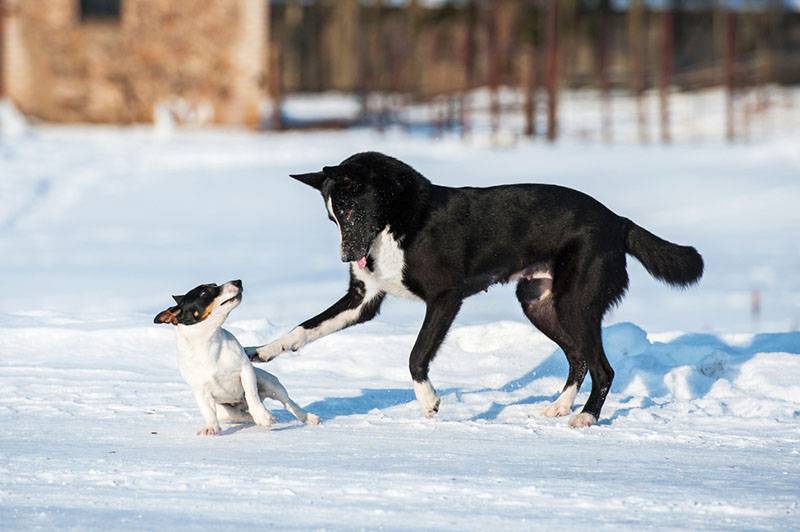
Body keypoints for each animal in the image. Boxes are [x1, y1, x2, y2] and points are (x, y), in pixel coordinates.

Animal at [156, 280, 318, 434]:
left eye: (214, 284)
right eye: (204, 292)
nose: (237, 281)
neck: (207, 344)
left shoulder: (245, 370)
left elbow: (252, 394)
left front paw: (262, 416)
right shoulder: (200, 390)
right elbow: (207, 411)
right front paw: (211, 427)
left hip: (271, 383)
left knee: (288, 403)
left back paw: (306, 417)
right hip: (225, 412)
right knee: (241, 415)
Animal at [248, 152, 700, 426]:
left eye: (349, 210)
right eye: (332, 217)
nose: (347, 257)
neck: (398, 220)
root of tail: (618, 221)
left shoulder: (445, 299)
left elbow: (416, 356)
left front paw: (428, 401)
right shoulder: (362, 301)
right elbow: (306, 328)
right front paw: (266, 350)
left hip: (576, 304)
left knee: (603, 367)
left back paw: (586, 416)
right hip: (539, 304)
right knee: (578, 359)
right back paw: (559, 406)